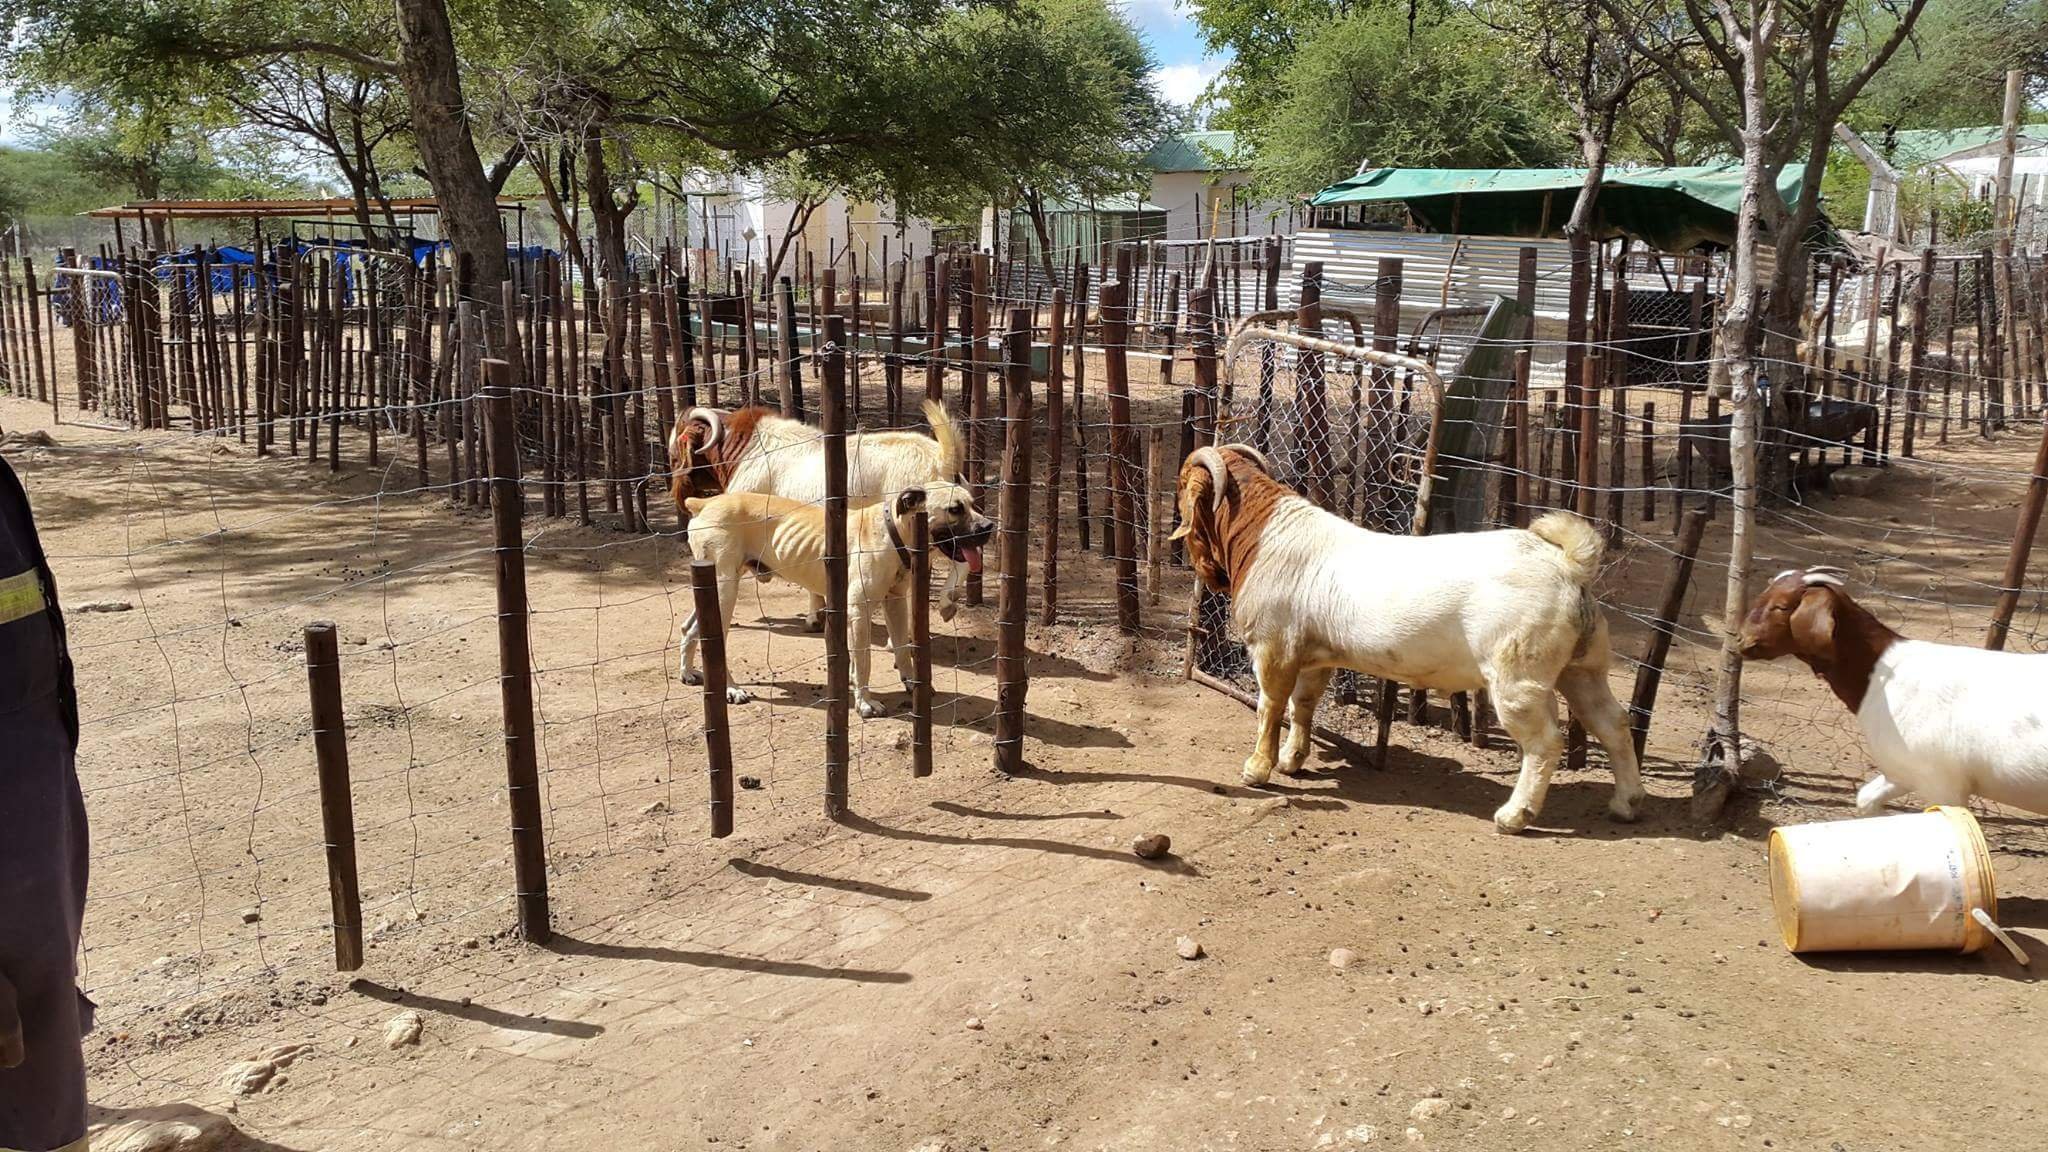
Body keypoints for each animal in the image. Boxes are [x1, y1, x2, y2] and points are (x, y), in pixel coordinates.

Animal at [667, 399, 978, 623]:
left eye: (673, 455)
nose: (677, 494)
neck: (748, 449)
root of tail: (941, 457)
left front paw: (814, 616)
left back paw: (942, 607)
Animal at [684, 477, 995, 713]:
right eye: (955, 509)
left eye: (973, 504)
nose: (989, 526)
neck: (892, 532)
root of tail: (704, 503)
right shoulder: (860, 610)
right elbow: (864, 660)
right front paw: (865, 703)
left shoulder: (895, 603)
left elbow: (901, 648)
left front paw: (912, 683)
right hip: (725, 591)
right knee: (712, 640)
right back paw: (732, 688)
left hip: (714, 591)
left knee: (689, 629)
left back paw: (687, 673)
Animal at [1179, 444, 1638, 828]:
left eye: (1183, 489)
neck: (1264, 535)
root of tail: (1567, 563)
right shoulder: (1313, 655)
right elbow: (1303, 704)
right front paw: (1293, 760)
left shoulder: (1272, 646)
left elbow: (1270, 706)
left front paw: (1258, 769)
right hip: (1582, 667)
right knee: (1614, 722)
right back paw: (1626, 804)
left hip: (1518, 676)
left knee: (1545, 742)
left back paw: (1515, 815)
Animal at [1736, 561, 2048, 811]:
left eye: (1780, 606)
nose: (1740, 640)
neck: (1883, 676)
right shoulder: (1902, 771)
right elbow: (1865, 800)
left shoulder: (1943, 784)